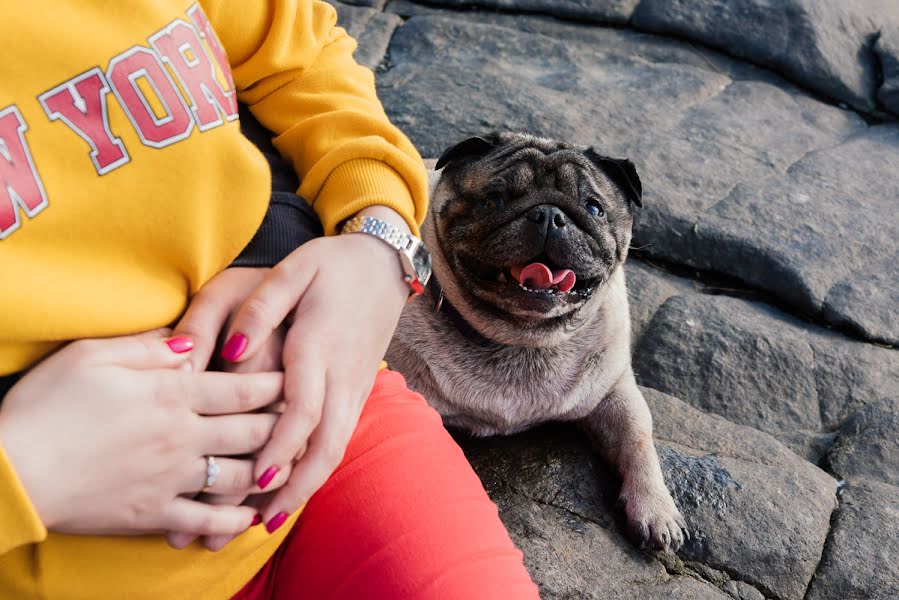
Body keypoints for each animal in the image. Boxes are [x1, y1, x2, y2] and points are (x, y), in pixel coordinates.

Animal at [386, 132, 688, 552]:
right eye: (494, 200)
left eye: (594, 208)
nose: (549, 215)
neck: (519, 338)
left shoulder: (614, 390)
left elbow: (639, 439)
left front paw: (656, 508)